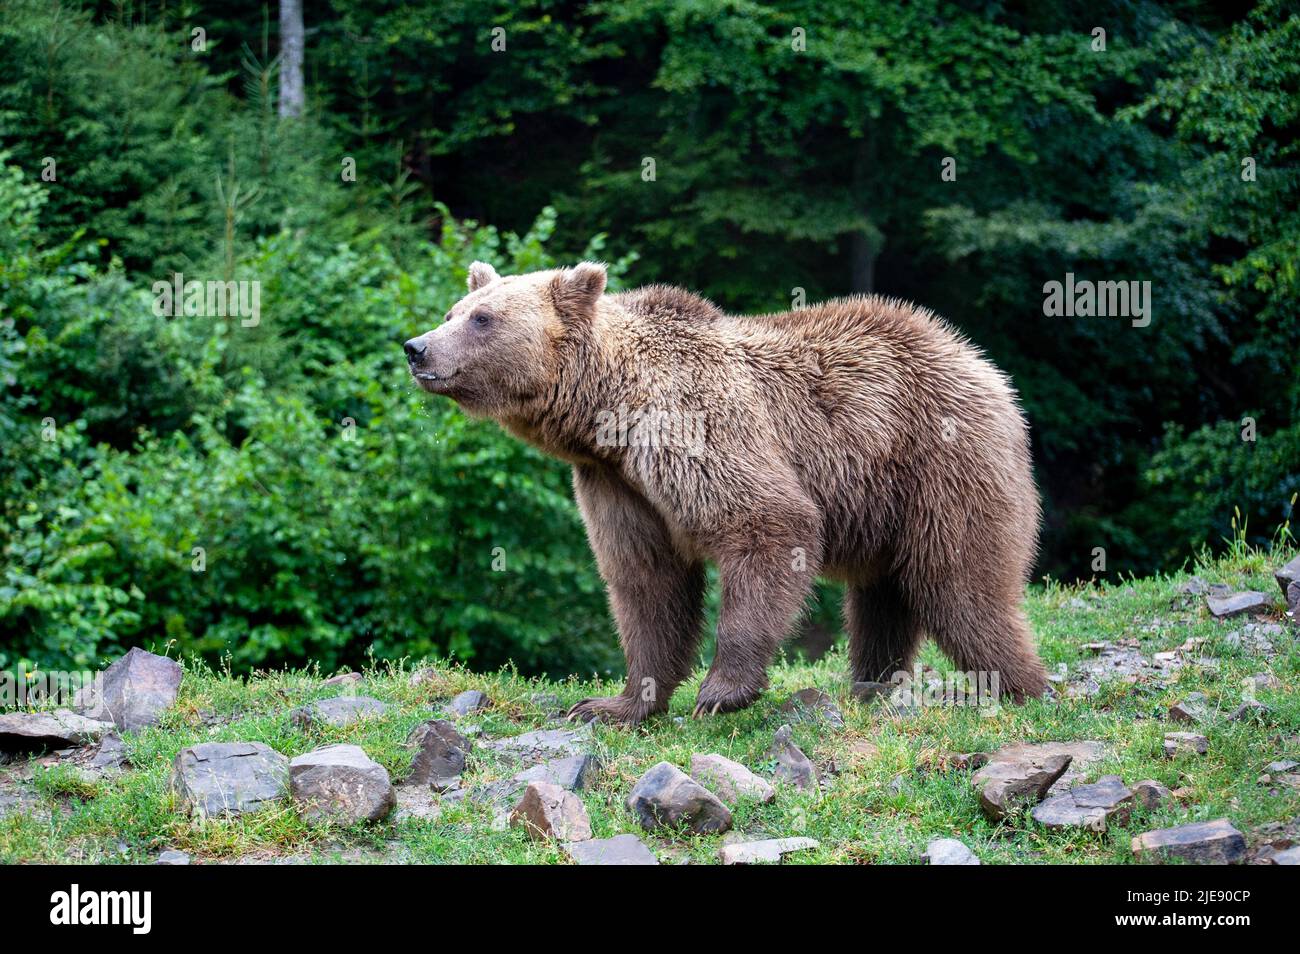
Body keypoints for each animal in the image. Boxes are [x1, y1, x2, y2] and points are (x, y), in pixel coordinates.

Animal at [404, 260, 1049, 724]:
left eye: (482, 319)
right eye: (453, 310)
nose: (417, 347)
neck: (606, 415)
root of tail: (980, 361)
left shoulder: (694, 427)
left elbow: (767, 524)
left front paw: (721, 691)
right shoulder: (616, 482)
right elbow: (647, 581)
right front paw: (613, 704)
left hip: (942, 462)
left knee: (961, 585)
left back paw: (1020, 687)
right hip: (884, 502)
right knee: (883, 597)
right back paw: (870, 687)